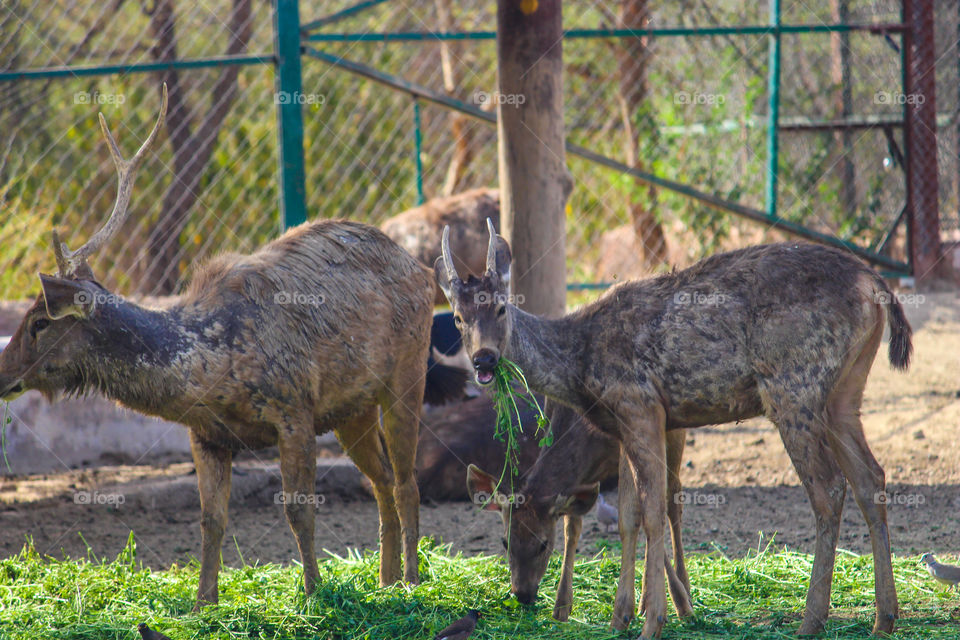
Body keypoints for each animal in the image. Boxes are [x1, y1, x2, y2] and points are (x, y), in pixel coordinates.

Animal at [0, 87, 442, 608]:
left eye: (40, 322)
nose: (2, 373)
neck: (210, 369)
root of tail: (424, 269)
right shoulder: (207, 434)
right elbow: (211, 520)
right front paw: (202, 604)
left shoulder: (294, 410)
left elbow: (299, 511)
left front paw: (314, 594)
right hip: (352, 407)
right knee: (381, 481)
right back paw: (386, 581)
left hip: (406, 375)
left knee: (407, 482)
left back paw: (411, 581)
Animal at [464, 404, 688, 620]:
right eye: (505, 542)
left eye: (544, 544)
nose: (522, 594)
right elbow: (571, 529)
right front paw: (562, 606)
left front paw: (682, 603)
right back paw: (644, 603)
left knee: (673, 499)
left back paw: (683, 587)